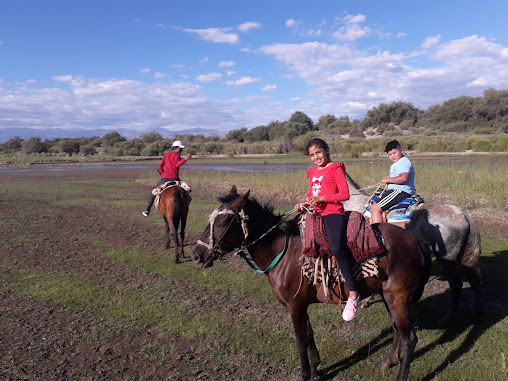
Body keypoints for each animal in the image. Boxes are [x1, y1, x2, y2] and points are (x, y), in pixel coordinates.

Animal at [192, 186, 430, 380]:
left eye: (223, 222)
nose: (197, 256)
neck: (283, 252)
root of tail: (413, 240)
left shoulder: (295, 306)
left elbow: (300, 340)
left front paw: (305, 374)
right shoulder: (300, 305)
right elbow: (309, 334)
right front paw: (316, 368)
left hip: (397, 298)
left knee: (409, 339)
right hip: (388, 297)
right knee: (398, 331)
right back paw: (388, 362)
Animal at [344, 172, 482, 320]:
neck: (356, 205)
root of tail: (463, 213)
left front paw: (365, 300)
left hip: (446, 258)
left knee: (456, 284)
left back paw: (448, 317)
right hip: (462, 256)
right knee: (474, 280)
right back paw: (476, 313)